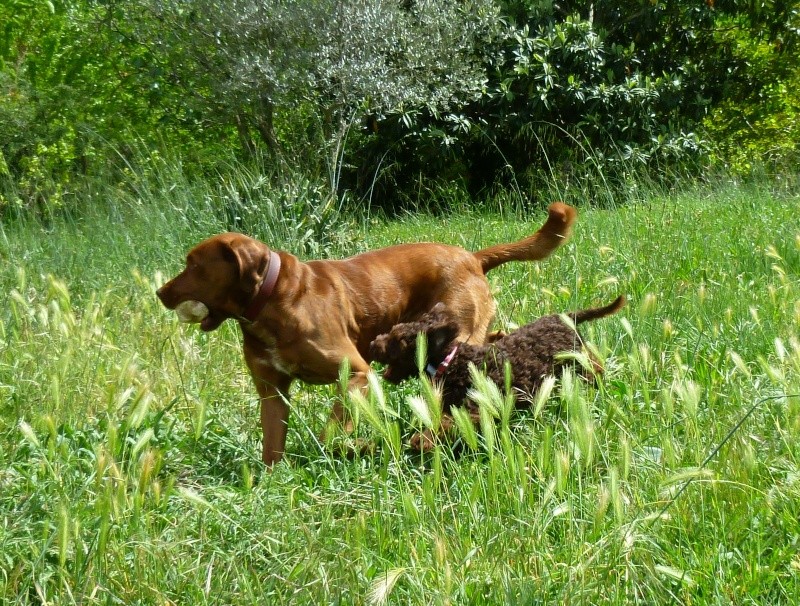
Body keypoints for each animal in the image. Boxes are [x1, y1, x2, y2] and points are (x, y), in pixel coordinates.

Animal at [155, 203, 576, 466]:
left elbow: (332, 430)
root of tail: (472, 257)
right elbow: (272, 447)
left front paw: (345, 448)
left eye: (194, 265)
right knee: (496, 341)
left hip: (455, 342)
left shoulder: (356, 373)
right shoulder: (272, 393)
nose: (159, 292)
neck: (272, 301)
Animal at [368, 296, 624, 448]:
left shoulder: (476, 406)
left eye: (397, 341)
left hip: (575, 362)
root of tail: (565, 318)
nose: (372, 343)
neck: (451, 363)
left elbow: (448, 424)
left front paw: (422, 441)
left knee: (594, 367)